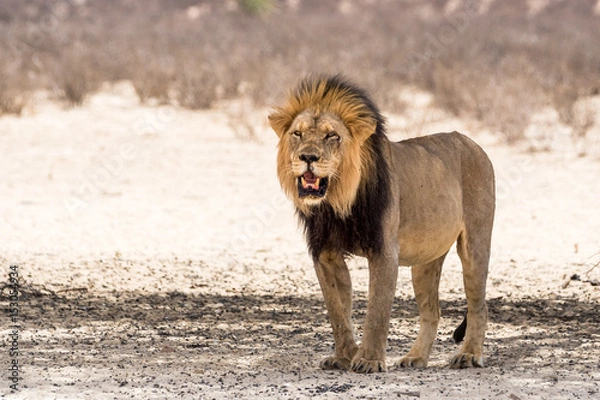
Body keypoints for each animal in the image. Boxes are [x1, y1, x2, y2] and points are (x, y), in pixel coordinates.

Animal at [270, 74, 494, 372]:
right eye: (298, 134)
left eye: (332, 136)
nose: (307, 157)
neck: (338, 203)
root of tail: (473, 144)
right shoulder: (325, 254)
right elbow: (337, 311)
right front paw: (345, 356)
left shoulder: (384, 251)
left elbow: (376, 310)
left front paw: (368, 359)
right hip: (425, 261)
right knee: (432, 312)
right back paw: (415, 358)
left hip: (475, 245)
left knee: (478, 305)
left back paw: (468, 354)